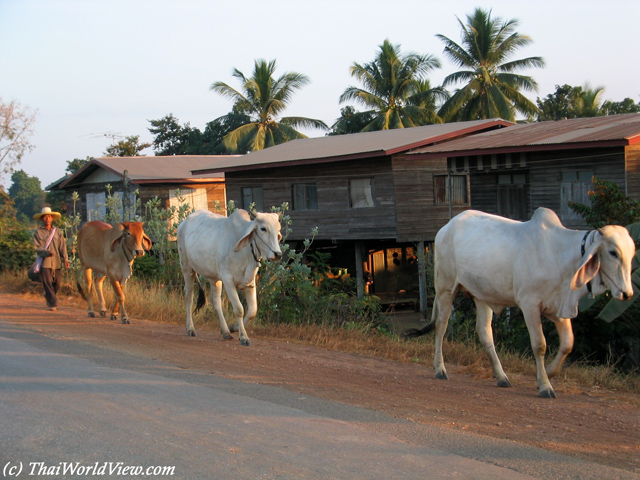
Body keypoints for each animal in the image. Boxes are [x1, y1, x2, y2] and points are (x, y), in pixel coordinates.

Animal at [177, 209, 282, 346]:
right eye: (263, 229)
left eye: (278, 229)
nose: (278, 254)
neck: (246, 254)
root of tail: (183, 223)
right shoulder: (228, 281)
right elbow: (239, 309)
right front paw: (243, 337)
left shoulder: (250, 283)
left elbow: (252, 311)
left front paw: (234, 328)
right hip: (187, 268)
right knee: (189, 297)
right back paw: (190, 328)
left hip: (214, 278)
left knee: (215, 301)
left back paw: (226, 331)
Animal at [423, 208, 635, 398]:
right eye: (613, 253)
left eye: (632, 254)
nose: (627, 293)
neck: (559, 255)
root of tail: (446, 227)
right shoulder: (530, 305)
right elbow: (540, 344)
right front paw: (545, 385)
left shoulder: (559, 307)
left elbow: (567, 344)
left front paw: (549, 372)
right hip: (445, 288)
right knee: (441, 326)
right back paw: (440, 369)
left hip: (481, 295)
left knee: (484, 331)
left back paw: (501, 376)